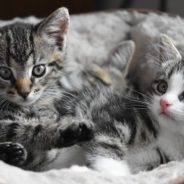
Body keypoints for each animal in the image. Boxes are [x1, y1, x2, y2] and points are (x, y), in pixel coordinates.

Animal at [0, 7, 93, 170]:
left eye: (39, 70)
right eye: (4, 72)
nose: (24, 93)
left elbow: (43, 155)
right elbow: (18, 129)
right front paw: (66, 132)